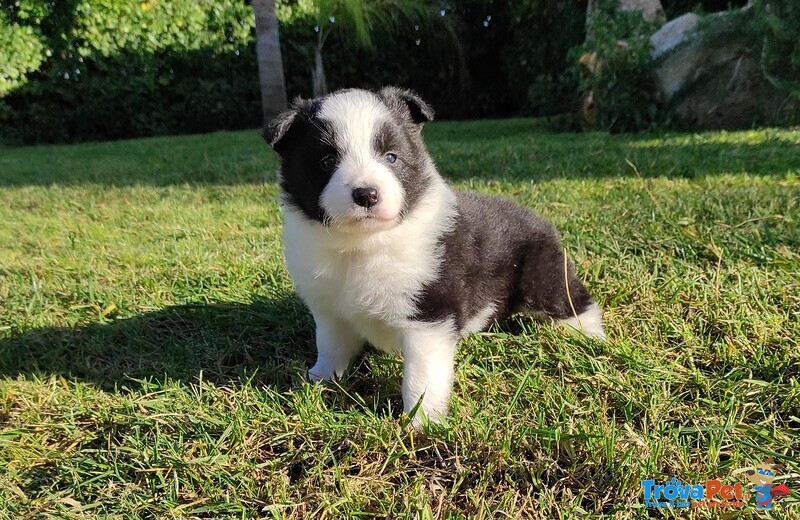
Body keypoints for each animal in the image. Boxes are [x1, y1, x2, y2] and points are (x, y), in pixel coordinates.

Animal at [264, 87, 608, 428]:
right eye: (326, 161)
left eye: (391, 157)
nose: (367, 194)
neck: (365, 244)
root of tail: (538, 218)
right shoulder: (329, 309)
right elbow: (330, 345)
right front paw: (319, 379)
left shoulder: (428, 316)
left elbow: (422, 375)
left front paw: (422, 422)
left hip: (542, 276)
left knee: (573, 301)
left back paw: (591, 338)